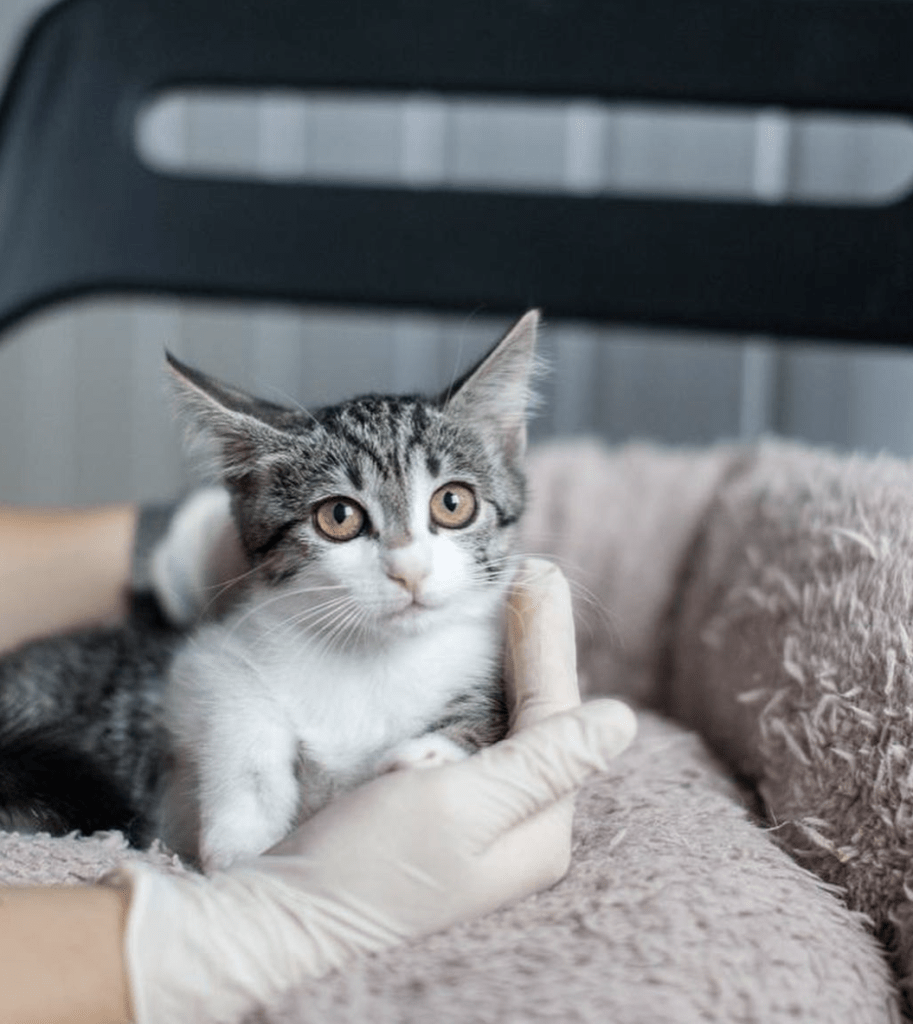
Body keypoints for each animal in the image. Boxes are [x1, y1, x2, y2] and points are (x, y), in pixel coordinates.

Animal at [0, 309, 540, 864]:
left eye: (453, 503)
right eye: (339, 516)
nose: (408, 570)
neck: (375, 657)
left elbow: (487, 724)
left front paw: (427, 757)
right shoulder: (201, 660)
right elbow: (238, 709)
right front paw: (242, 837)